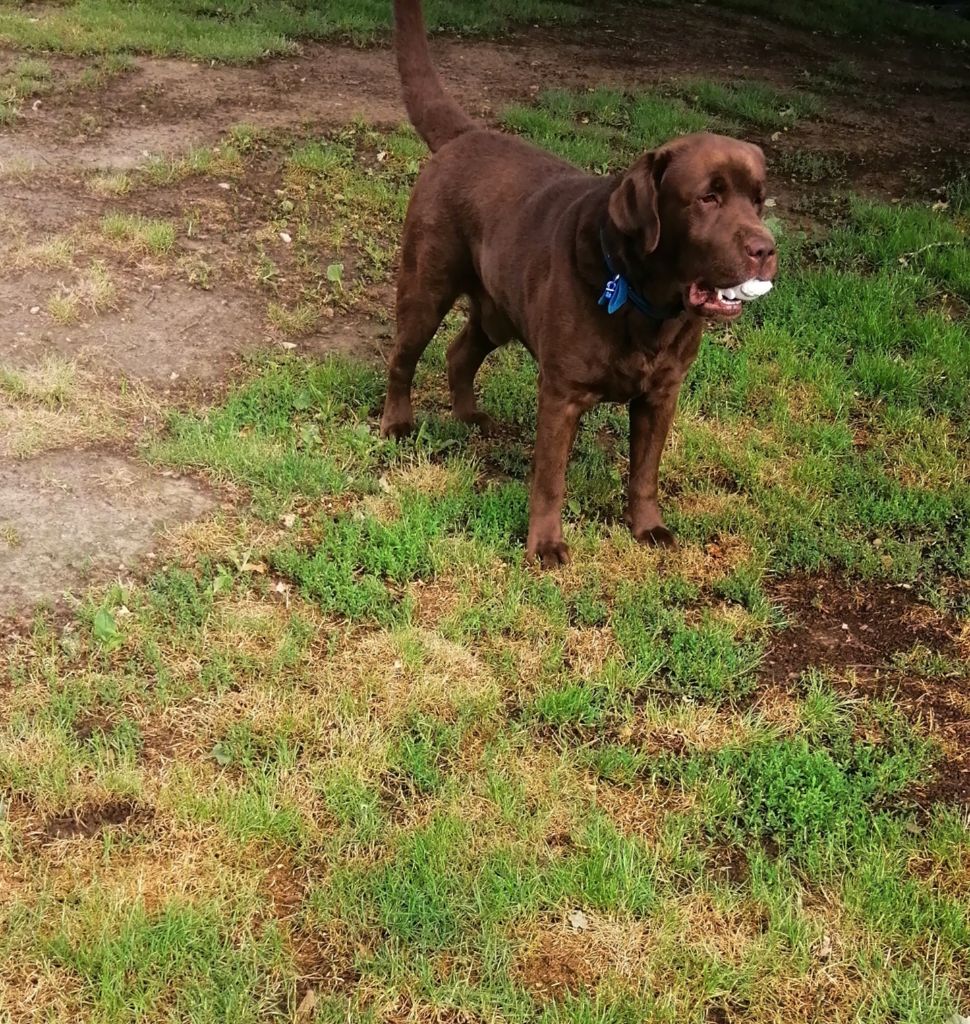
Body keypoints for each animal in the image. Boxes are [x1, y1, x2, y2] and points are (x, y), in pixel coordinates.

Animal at [381, 0, 782, 569]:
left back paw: (469, 416)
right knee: (404, 357)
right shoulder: (561, 394)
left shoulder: (661, 396)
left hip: (498, 310)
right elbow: (550, 480)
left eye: (759, 201)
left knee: (461, 352)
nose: (765, 249)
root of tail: (465, 135)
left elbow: (644, 473)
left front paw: (648, 528)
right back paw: (397, 424)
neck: (646, 304)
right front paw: (545, 545)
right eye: (708, 198)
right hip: (425, 286)